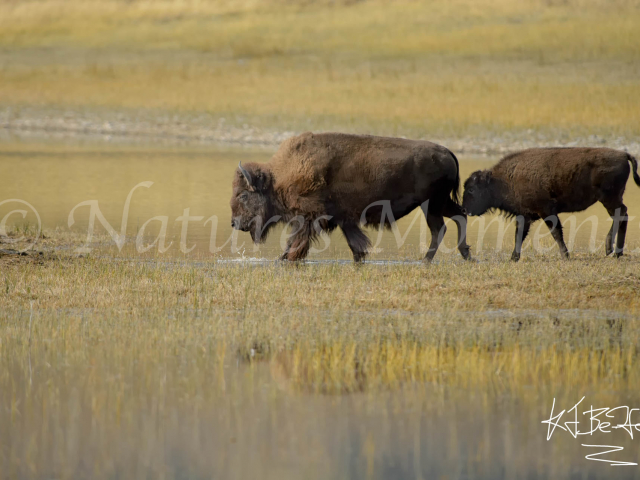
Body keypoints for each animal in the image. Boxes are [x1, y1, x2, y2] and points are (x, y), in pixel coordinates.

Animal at [230, 131, 470, 262]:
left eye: (243, 195)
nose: (234, 222)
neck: (279, 177)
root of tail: (448, 152)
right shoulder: (343, 219)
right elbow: (355, 242)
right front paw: (360, 257)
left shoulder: (308, 217)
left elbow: (296, 241)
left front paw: (285, 259)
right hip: (440, 203)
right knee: (460, 216)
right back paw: (466, 255)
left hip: (431, 205)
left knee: (439, 228)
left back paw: (426, 260)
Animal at [462, 147, 636, 262]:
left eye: (471, 189)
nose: (464, 209)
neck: (502, 180)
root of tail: (623, 154)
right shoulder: (524, 215)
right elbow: (519, 235)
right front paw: (513, 258)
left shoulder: (546, 211)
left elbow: (556, 232)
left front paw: (565, 256)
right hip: (612, 199)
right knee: (623, 216)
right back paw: (617, 253)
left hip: (609, 198)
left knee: (621, 215)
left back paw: (610, 249)